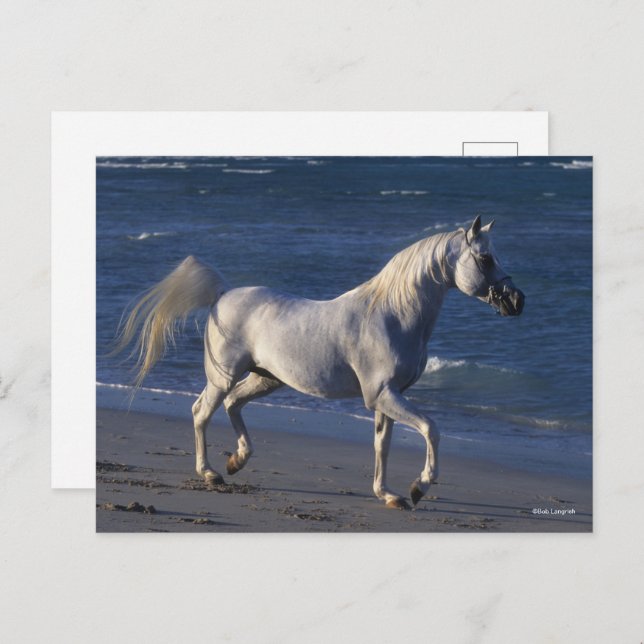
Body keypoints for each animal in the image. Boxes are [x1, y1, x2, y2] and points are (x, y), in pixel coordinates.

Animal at [116, 215, 524, 509]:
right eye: (485, 258)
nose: (516, 301)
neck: (392, 316)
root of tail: (222, 294)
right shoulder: (383, 395)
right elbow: (431, 428)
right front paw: (418, 487)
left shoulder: (387, 398)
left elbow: (382, 445)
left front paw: (388, 494)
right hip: (223, 377)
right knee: (202, 411)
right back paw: (211, 473)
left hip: (266, 379)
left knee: (232, 405)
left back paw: (238, 461)